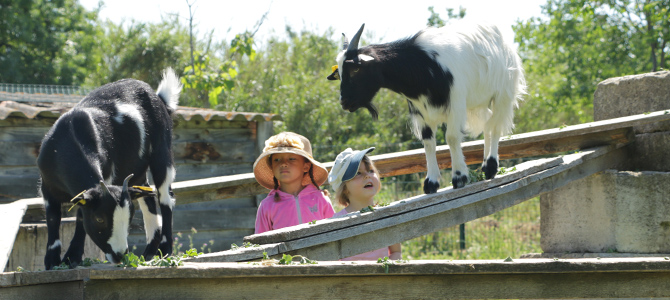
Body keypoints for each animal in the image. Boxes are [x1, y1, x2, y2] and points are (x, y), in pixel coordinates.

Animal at [37, 68, 182, 270]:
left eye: (129, 218)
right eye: (100, 219)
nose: (120, 255)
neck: (71, 136)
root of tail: (158, 97)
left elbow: (80, 218)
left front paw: (72, 257)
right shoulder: (47, 186)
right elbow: (52, 219)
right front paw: (52, 260)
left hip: (163, 152)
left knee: (166, 198)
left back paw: (164, 250)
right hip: (137, 172)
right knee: (148, 195)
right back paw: (148, 253)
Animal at [328, 22, 528, 193]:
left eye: (355, 69)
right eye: (339, 74)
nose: (344, 102)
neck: (424, 67)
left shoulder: (456, 104)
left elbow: (452, 138)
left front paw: (459, 177)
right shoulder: (420, 112)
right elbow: (428, 143)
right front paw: (431, 182)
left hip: (503, 94)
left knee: (495, 127)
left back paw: (491, 167)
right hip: (481, 100)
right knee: (488, 125)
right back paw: (486, 165)